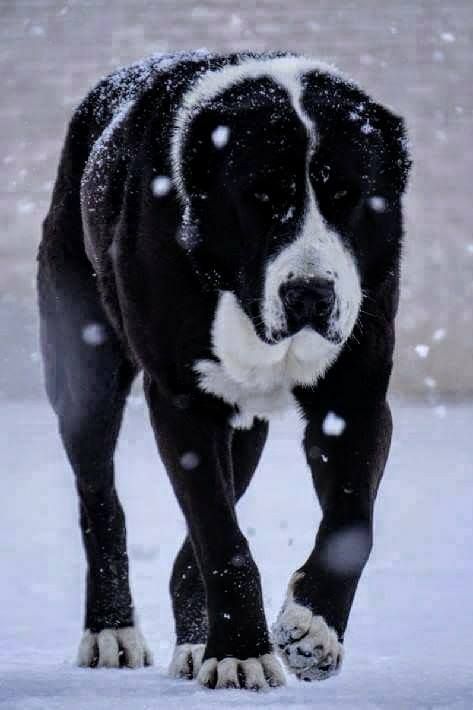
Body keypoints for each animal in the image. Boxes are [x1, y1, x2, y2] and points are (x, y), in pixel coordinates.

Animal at [37, 51, 408, 696]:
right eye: (259, 196)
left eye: (348, 194)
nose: (309, 294)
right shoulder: (183, 403)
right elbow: (221, 537)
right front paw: (242, 654)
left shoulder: (355, 398)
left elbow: (350, 525)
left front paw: (313, 631)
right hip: (84, 370)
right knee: (100, 501)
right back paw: (111, 630)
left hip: (245, 427)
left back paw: (192, 641)